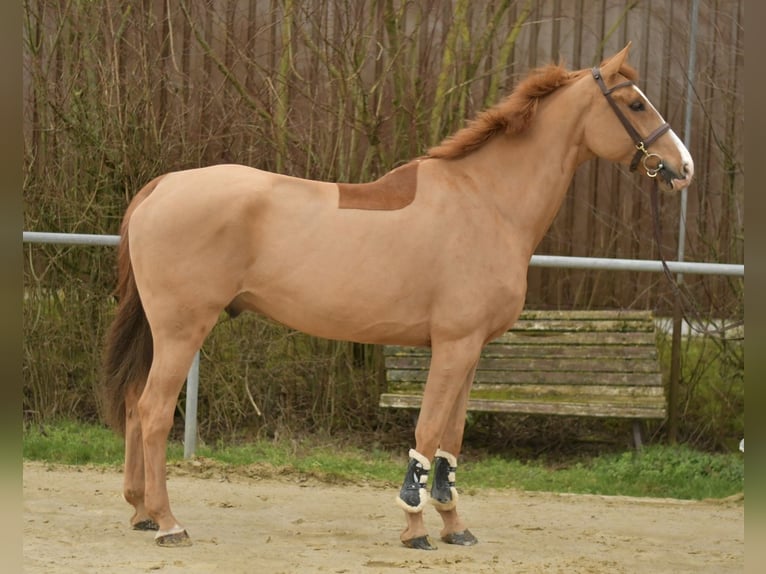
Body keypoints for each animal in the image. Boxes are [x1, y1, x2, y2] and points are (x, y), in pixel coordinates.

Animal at [102, 43, 693, 550]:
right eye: (635, 103)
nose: (683, 167)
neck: (486, 201)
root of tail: (162, 186)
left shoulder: (471, 350)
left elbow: (451, 439)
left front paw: (455, 527)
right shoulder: (452, 345)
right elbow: (428, 432)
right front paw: (415, 528)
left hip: (162, 331)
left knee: (132, 403)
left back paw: (141, 511)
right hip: (183, 329)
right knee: (154, 410)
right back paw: (169, 523)